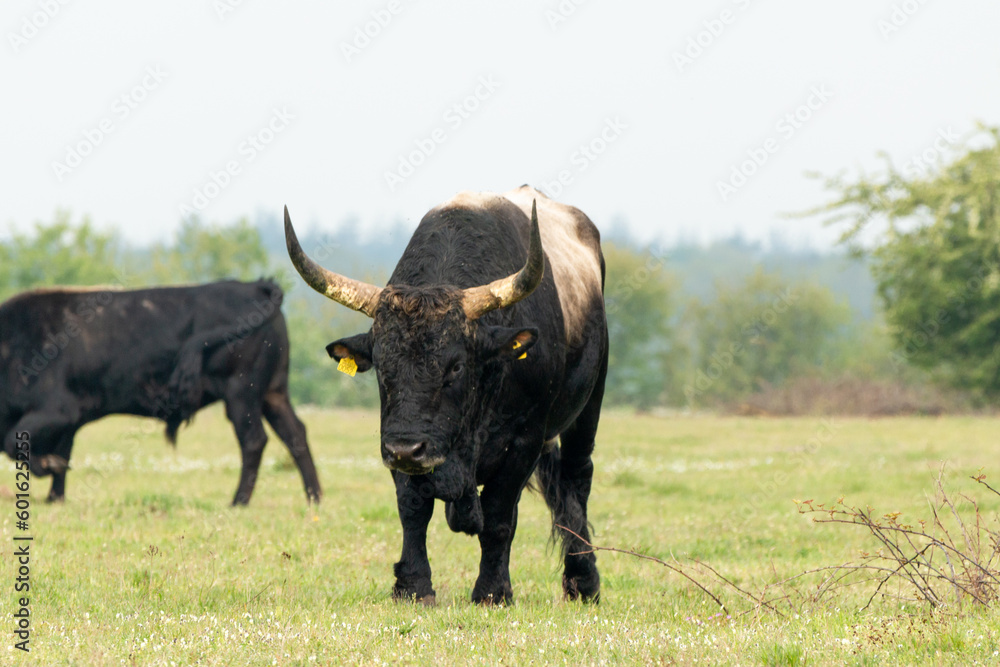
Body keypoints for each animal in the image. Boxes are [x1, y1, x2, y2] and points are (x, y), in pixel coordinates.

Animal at [0, 279, 321, 506]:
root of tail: (256, 286)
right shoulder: (69, 420)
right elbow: (61, 453)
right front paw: (55, 497)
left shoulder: (57, 410)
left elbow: (14, 442)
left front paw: (48, 468)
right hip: (273, 393)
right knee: (295, 433)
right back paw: (314, 498)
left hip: (242, 394)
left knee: (254, 440)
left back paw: (238, 501)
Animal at [284, 185, 607, 604]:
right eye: (382, 365)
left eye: (455, 366)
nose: (406, 449)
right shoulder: (400, 441)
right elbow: (412, 510)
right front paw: (413, 586)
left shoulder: (525, 440)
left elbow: (499, 517)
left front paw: (493, 592)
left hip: (589, 406)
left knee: (576, 479)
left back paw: (583, 580)